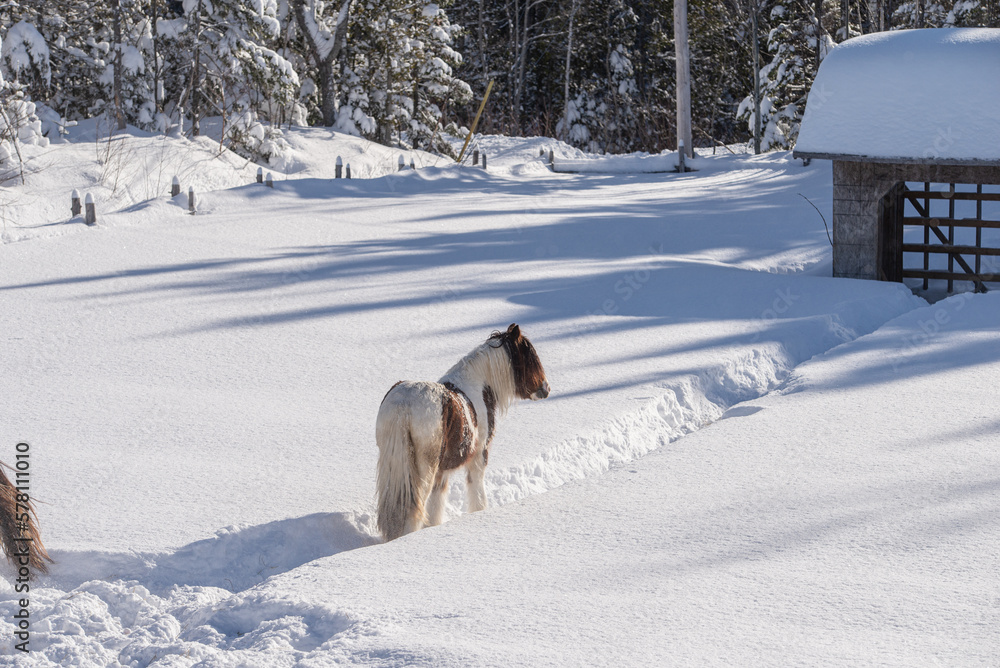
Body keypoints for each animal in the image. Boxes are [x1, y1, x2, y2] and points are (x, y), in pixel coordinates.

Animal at [375, 323, 550, 541]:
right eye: (529, 357)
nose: (545, 388)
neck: (479, 386)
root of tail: (403, 405)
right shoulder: (479, 457)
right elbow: (477, 495)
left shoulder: (442, 472)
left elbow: (436, 506)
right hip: (423, 470)